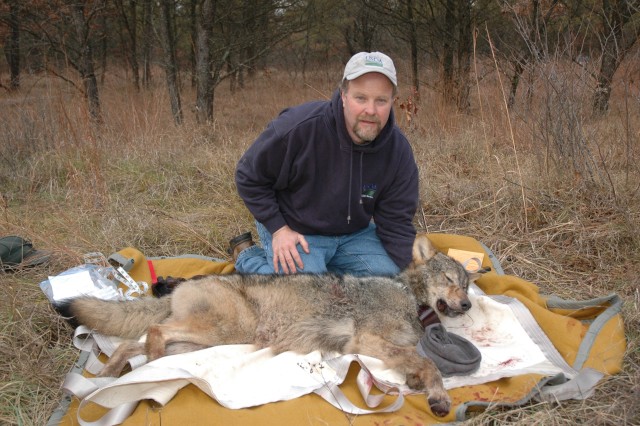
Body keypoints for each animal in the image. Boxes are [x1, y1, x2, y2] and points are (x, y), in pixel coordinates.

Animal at [60, 233, 482, 416]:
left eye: (466, 285)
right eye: (449, 280)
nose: (465, 305)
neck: (410, 296)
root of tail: (183, 285)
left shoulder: (386, 346)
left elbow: (414, 360)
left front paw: (416, 382)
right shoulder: (366, 340)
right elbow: (427, 363)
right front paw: (438, 397)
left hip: (199, 344)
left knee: (133, 344)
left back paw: (111, 375)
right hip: (217, 333)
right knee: (153, 334)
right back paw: (132, 371)